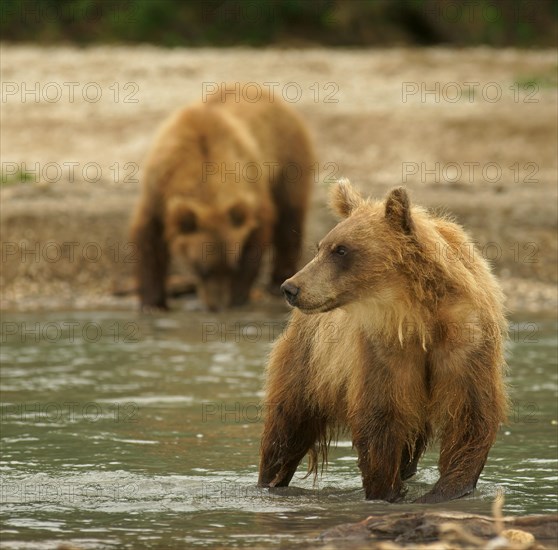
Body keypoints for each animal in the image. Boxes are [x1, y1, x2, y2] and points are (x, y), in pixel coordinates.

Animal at [130, 84, 316, 312]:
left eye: (231, 266)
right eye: (203, 269)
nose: (218, 306)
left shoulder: (250, 184)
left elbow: (257, 232)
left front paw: (238, 296)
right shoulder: (158, 190)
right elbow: (149, 237)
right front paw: (153, 303)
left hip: (288, 160)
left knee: (290, 216)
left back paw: (276, 281)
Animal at [260, 181, 510, 504]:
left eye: (341, 249)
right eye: (322, 247)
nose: (290, 287)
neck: (421, 319)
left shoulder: (468, 345)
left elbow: (470, 417)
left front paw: (442, 492)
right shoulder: (384, 352)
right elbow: (381, 420)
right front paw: (387, 492)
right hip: (309, 362)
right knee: (287, 426)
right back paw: (270, 480)